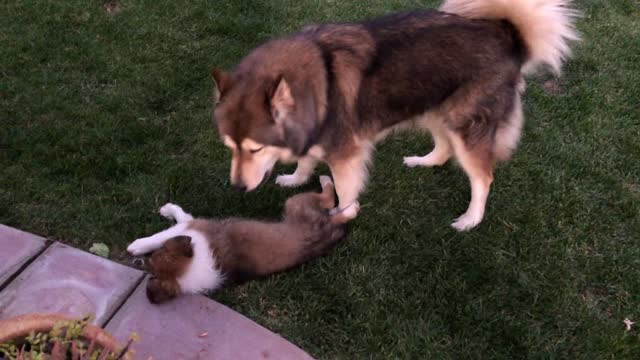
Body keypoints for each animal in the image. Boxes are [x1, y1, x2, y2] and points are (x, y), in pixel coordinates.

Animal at [125, 176, 356, 304]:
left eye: (157, 255)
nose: (142, 262)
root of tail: (330, 230)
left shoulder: (191, 226)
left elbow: (167, 229)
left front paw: (138, 244)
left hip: (295, 203)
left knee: (328, 198)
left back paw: (326, 180)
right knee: (336, 209)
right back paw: (345, 207)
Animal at [211, 0, 580, 231]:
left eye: (255, 149)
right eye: (229, 146)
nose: (237, 188)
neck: (315, 83)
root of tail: (507, 37)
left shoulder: (346, 153)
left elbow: (345, 191)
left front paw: (340, 216)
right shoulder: (316, 134)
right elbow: (305, 160)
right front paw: (296, 178)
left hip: (465, 126)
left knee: (483, 177)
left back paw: (470, 219)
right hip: (435, 110)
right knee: (443, 149)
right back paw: (423, 161)